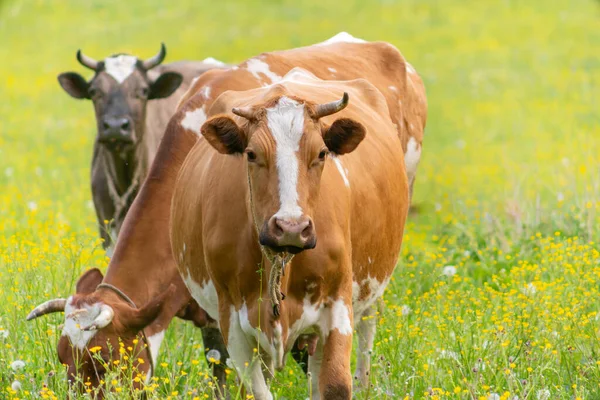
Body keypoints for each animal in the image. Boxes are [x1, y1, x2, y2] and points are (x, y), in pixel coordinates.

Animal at [168, 33, 422, 396]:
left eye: (321, 153)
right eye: (251, 154)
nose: (291, 227)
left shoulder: (337, 305)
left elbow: (334, 386)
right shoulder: (233, 322)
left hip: (370, 288)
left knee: (366, 331)